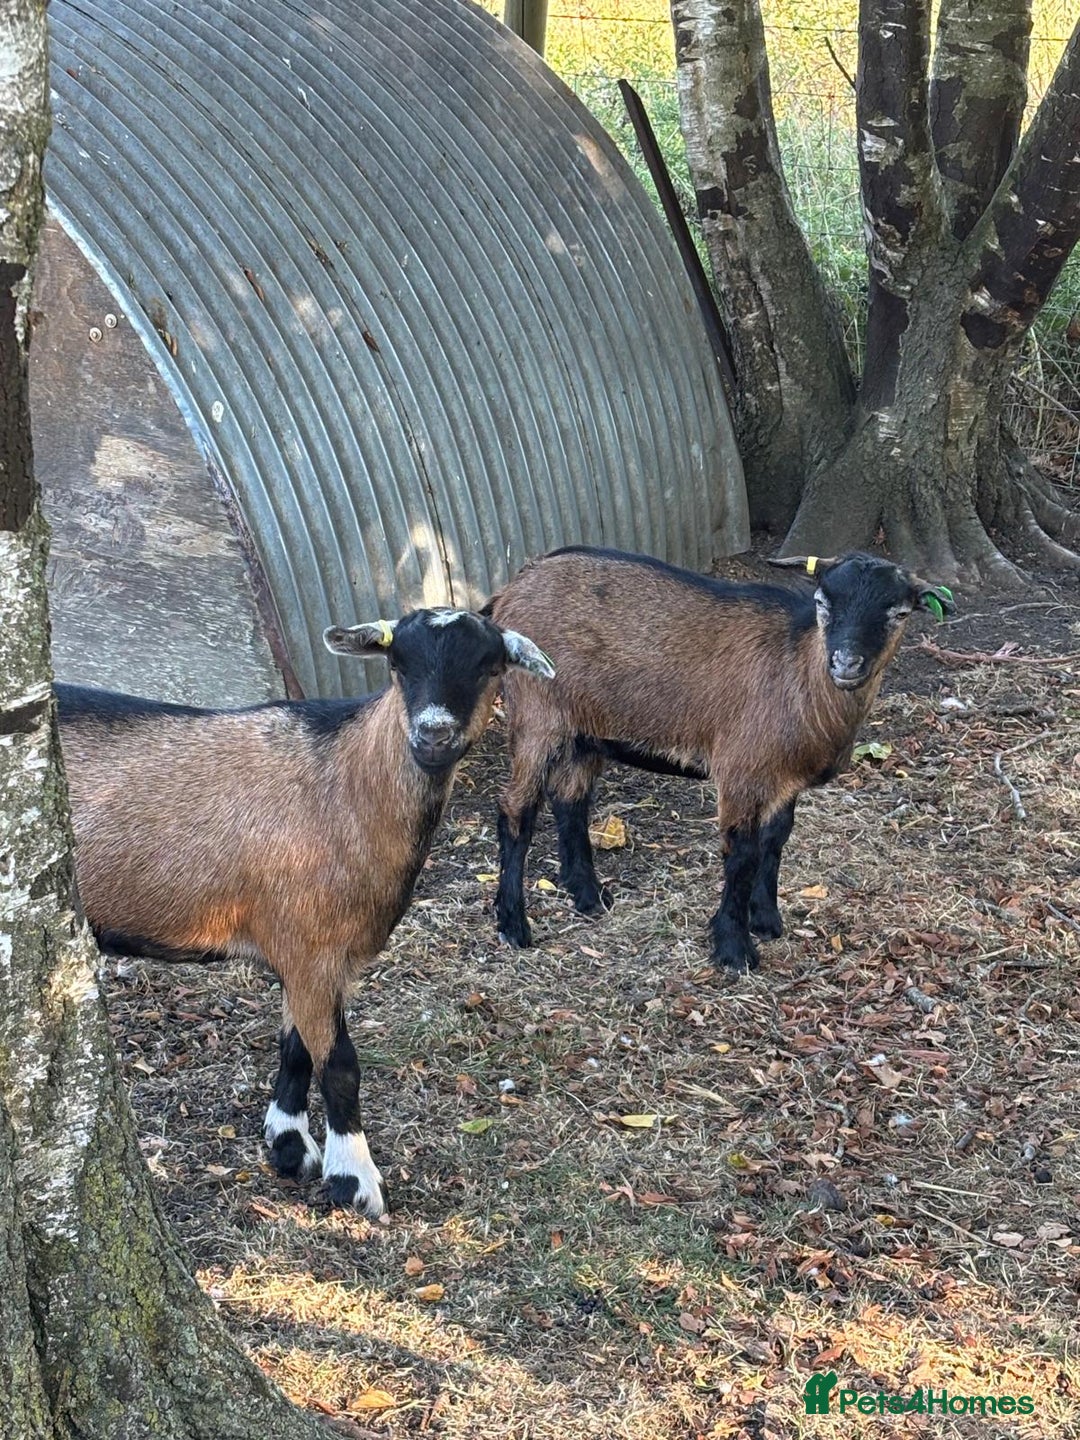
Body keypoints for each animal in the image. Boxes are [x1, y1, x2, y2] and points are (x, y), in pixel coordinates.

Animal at [57, 608, 555, 1218]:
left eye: (490, 666)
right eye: (398, 664)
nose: (433, 734)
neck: (345, 786)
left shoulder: (314, 955)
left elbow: (295, 1048)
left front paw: (288, 1144)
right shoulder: (309, 947)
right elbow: (339, 1064)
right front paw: (353, 1179)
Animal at [485, 548, 952, 973]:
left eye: (899, 612)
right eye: (823, 603)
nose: (846, 663)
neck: (798, 671)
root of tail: (512, 589)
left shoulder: (783, 777)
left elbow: (776, 839)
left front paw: (766, 919)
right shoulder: (742, 768)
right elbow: (742, 852)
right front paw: (734, 949)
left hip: (584, 733)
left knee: (571, 801)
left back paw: (589, 897)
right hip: (536, 716)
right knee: (516, 811)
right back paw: (514, 925)